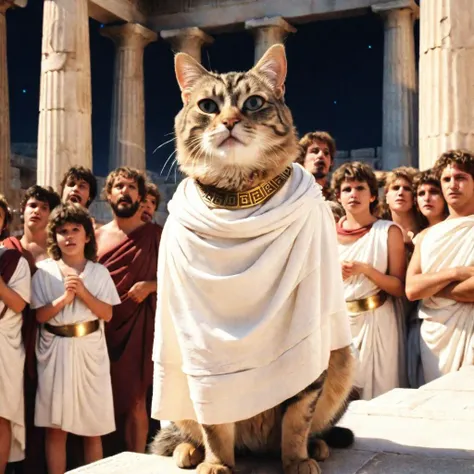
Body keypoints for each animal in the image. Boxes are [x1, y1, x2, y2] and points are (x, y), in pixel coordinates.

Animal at [149, 42, 356, 472]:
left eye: (254, 102)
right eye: (208, 106)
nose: (229, 121)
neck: (238, 199)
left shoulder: (310, 353)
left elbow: (298, 414)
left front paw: (296, 459)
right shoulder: (204, 362)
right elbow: (213, 423)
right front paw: (216, 462)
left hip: (344, 357)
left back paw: (316, 446)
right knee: (186, 429)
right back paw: (188, 450)